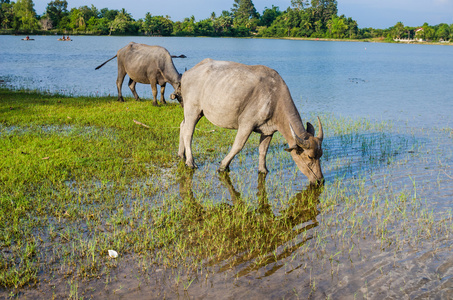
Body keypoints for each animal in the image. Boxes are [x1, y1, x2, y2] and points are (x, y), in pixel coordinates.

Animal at [178, 58, 324, 185]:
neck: (274, 99)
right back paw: (190, 162)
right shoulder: (246, 124)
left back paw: (181, 154)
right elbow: (238, 146)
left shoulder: (268, 131)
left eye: (320, 155)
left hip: (196, 112)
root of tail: (187, 73)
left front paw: (263, 169)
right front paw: (223, 166)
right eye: (310, 157)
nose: (320, 180)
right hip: (192, 109)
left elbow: (263, 150)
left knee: (182, 125)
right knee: (189, 133)